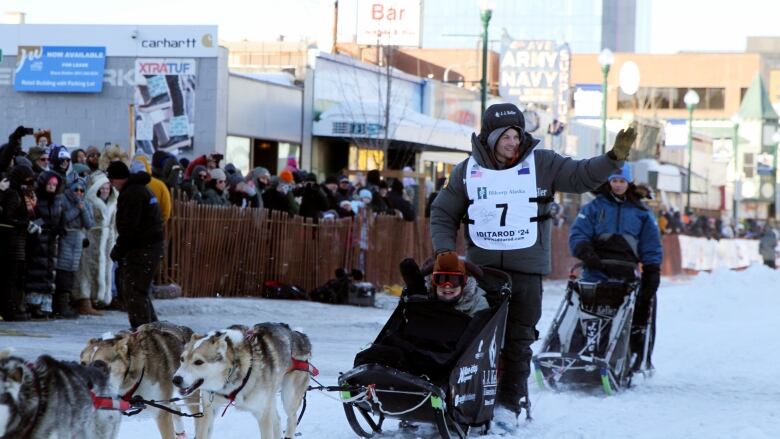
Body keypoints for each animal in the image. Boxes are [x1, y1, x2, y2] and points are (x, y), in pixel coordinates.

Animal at [174, 324, 314, 439]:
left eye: (198, 362)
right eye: (181, 359)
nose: (176, 380)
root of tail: (297, 334)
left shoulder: (263, 415)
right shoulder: (209, 411)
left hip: (288, 398)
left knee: (292, 419)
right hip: (270, 400)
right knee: (278, 421)